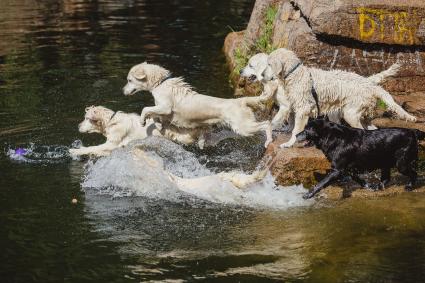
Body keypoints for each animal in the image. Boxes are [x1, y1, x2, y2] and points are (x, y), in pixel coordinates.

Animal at [121, 62, 274, 149]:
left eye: (129, 80)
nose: (122, 91)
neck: (160, 83)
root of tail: (240, 100)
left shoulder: (165, 108)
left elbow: (146, 109)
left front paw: (142, 121)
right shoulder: (162, 110)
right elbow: (155, 116)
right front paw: (158, 125)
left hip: (244, 127)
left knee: (267, 124)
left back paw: (269, 141)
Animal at [240, 52, 400, 130]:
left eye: (250, 65)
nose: (240, 71)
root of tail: (367, 81)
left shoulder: (287, 106)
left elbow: (276, 120)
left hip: (350, 112)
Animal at [260, 48, 416, 149]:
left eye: (269, 64)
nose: (261, 75)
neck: (295, 74)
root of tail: (369, 83)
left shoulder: (303, 108)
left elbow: (296, 129)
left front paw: (288, 143)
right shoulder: (295, 106)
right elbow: (292, 125)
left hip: (351, 113)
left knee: (362, 131)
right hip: (360, 113)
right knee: (372, 128)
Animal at [294, 120, 424, 200]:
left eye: (306, 130)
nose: (295, 135)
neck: (333, 137)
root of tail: (413, 131)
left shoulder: (337, 170)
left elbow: (321, 183)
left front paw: (308, 194)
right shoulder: (349, 168)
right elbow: (357, 178)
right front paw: (368, 186)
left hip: (401, 163)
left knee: (413, 173)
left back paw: (409, 186)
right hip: (384, 160)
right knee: (386, 178)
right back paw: (377, 187)